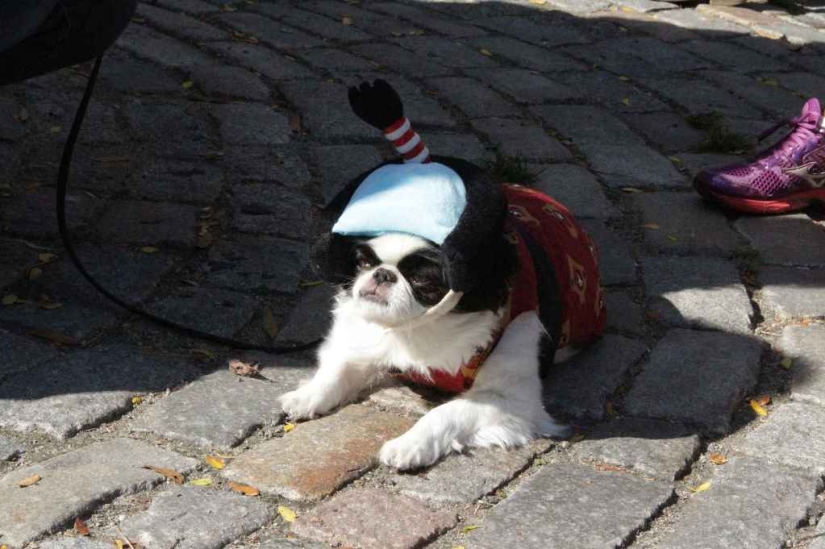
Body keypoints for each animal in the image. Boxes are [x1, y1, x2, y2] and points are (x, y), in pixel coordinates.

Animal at [276, 81, 604, 470]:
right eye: (363, 262)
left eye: (423, 281)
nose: (383, 275)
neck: (414, 333)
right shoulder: (362, 342)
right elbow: (337, 369)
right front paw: (307, 395)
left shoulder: (506, 398)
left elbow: (444, 414)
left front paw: (408, 446)